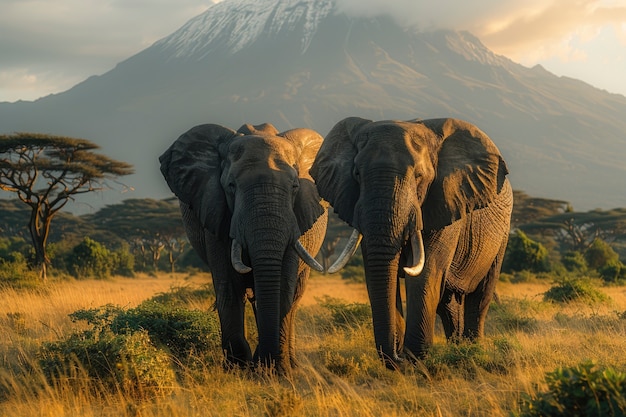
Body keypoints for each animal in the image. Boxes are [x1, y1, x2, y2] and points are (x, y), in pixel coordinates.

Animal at [158, 122, 326, 372]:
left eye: (295, 186)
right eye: (231, 186)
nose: (265, 362)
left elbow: (283, 286)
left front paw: (277, 369)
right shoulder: (216, 213)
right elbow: (229, 286)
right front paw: (239, 369)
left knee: (293, 296)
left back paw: (292, 363)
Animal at [312, 115, 512, 366]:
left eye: (419, 176)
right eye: (357, 174)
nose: (397, 356)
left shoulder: (445, 201)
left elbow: (427, 273)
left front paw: (415, 359)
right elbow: (376, 271)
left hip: (502, 233)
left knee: (481, 296)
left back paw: (472, 351)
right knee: (448, 304)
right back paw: (457, 350)